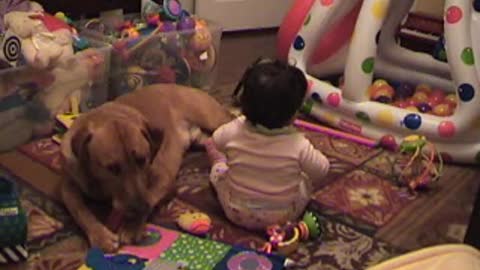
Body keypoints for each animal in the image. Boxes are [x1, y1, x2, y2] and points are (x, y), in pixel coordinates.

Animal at [60, 84, 232, 251]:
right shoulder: (67, 185)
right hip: (206, 138)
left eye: (142, 160)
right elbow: (78, 210)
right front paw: (100, 235)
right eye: (112, 168)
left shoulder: (163, 178)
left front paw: (132, 226)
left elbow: (150, 196)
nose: (139, 207)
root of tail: (184, 86)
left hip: (213, 119)